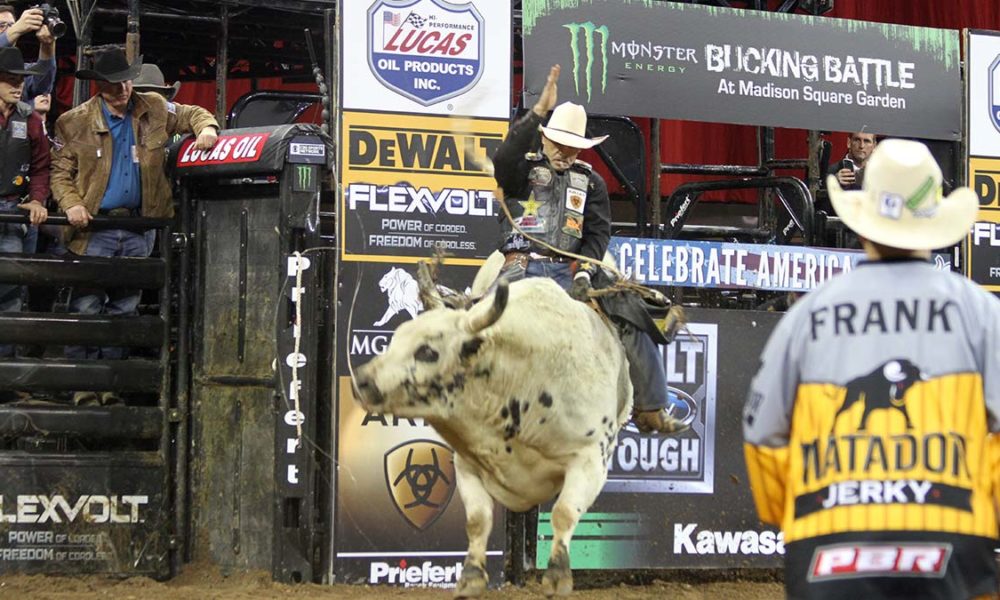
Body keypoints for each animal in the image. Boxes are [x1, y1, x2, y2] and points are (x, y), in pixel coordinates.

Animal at [356, 255, 652, 596]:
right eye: (395, 339)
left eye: (427, 351)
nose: (361, 380)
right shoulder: (466, 463)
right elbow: (477, 520)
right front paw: (470, 577)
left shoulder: (590, 459)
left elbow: (564, 513)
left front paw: (557, 577)